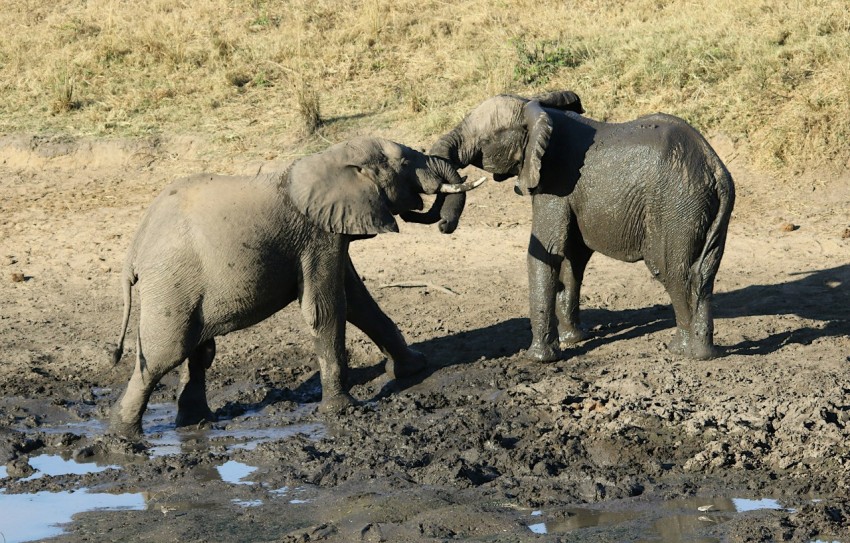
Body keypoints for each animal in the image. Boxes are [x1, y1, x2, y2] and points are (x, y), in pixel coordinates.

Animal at [109, 137, 483, 438]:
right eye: (404, 163)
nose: (442, 222)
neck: (331, 158)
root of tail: (134, 249)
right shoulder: (317, 237)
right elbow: (327, 309)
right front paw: (343, 411)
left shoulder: (333, 229)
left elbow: (360, 303)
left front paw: (415, 367)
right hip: (171, 282)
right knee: (162, 355)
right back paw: (124, 436)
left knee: (198, 350)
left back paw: (196, 423)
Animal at [426, 90, 735, 362]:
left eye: (484, 140)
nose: (444, 225)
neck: (535, 108)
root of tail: (715, 169)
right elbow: (572, 258)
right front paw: (572, 340)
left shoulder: (555, 183)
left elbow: (546, 253)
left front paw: (540, 359)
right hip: (704, 209)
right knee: (703, 274)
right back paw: (702, 353)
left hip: (675, 204)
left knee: (673, 272)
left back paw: (682, 351)